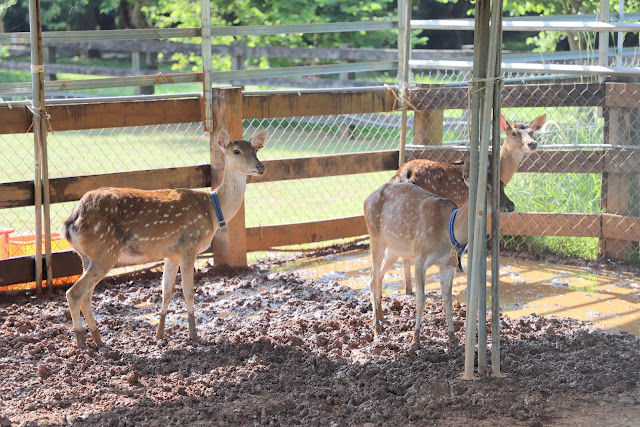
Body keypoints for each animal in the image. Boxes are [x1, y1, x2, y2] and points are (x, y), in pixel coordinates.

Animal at [63, 129, 268, 350]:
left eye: (255, 149)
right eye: (236, 151)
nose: (260, 167)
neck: (213, 212)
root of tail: (71, 222)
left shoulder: (172, 253)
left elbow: (166, 291)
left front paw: (159, 334)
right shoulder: (190, 244)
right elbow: (188, 291)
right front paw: (194, 336)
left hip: (88, 257)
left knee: (86, 296)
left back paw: (98, 339)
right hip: (105, 252)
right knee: (74, 293)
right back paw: (82, 343)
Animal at [364, 159, 516, 350]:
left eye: (502, 185)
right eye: (486, 188)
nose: (511, 205)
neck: (448, 231)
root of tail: (366, 199)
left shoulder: (447, 264)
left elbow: (447, 301)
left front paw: (453, 340)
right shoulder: (420, 257)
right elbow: (421, 300)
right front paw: (415, 342)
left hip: (395, 249)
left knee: (377, 277)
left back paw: (382, 318)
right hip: (375, 237)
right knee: (372, 277)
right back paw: (377, 329)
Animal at [390, 113, 544, 294]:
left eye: (532, 132)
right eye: (513, 133)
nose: (532, 144)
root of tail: (405, 173)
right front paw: (460, 268)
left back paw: (408, 288)